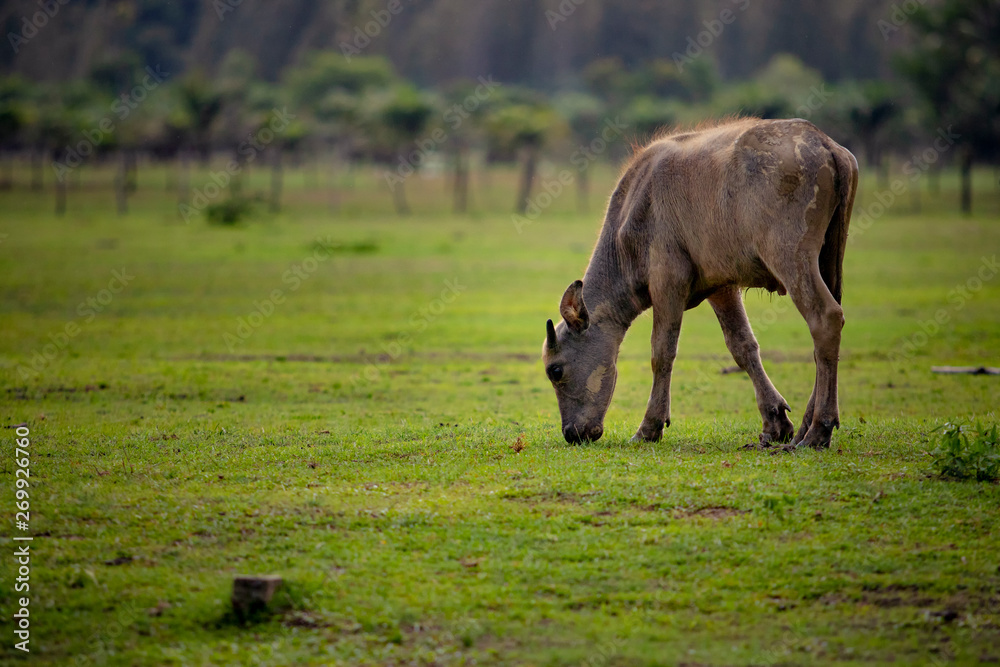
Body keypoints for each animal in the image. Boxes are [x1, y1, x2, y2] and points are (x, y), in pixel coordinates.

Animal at [544, 116, 864, 448]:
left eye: (555, 370)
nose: (571, 433)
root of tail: (823, 142)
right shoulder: (722, 288)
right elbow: (742, 346)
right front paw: (774, 422)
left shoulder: (668, 282)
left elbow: (662, 352)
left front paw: (649, 427)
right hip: (830, 259)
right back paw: (803, 428)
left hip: (791, 256)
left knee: (825, 318)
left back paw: (817, 431)